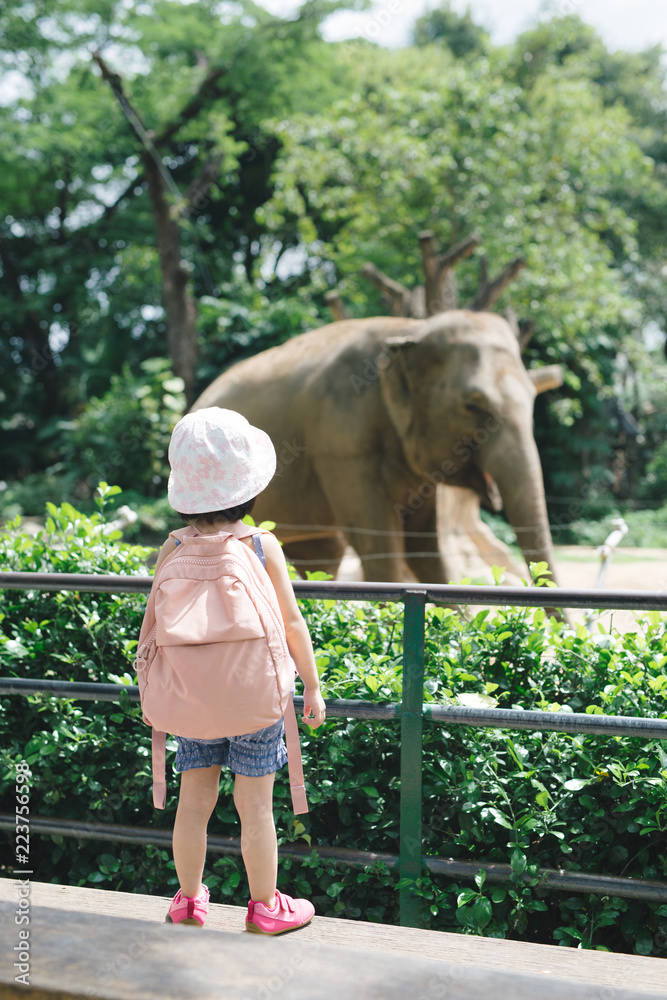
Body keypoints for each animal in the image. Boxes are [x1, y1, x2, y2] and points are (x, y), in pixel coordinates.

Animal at [193, 308, 560, 584]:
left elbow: (423, 546)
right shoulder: (341, 439)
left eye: (533, 394)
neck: (412, 329)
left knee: (322, 554)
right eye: (472, 406)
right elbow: (378, 544)